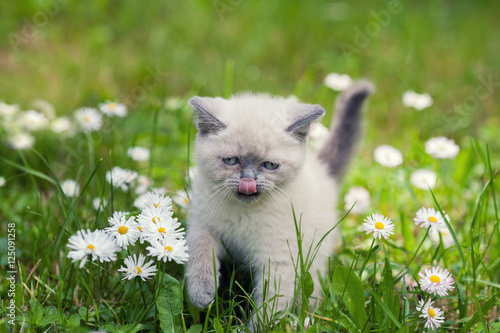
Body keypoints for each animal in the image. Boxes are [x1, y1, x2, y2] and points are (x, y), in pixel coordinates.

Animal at [184, 81, 372, 330]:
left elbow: (271, 302)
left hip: (313, 260)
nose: (248, 181)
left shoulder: (278, 256)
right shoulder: (203, 224)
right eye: (231, 161)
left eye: (270, 165)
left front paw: (253, 329)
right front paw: (201, 293)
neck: (244, 213)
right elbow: (200, 250)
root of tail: (323, 171)